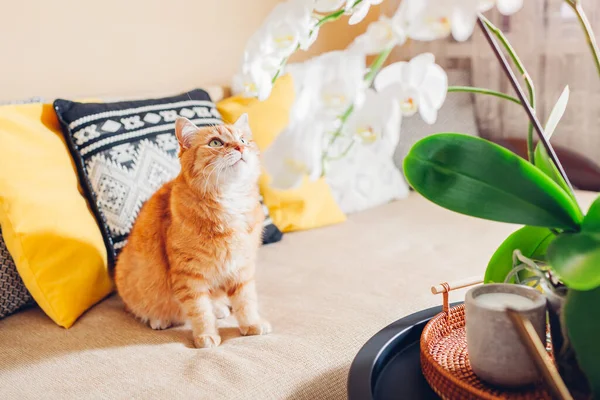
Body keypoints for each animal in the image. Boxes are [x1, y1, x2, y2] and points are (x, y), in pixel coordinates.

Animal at [115, 114, 270, 348]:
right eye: (215, 142)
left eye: (243, 140)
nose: (239, 147)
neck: (230, 200)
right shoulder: (189, 275)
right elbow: (200, 311)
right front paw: (206, 336)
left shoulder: (241, 267)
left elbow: (246, 301)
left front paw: (251, 325)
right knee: (140, 308)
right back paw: (158, 319)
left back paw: (220, 309)